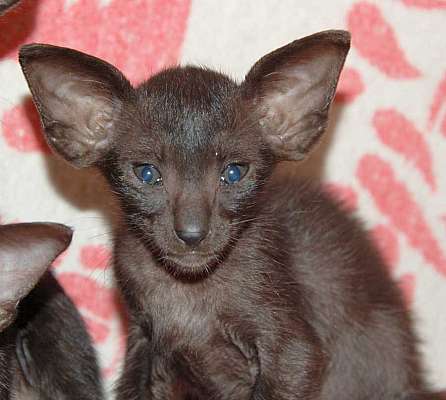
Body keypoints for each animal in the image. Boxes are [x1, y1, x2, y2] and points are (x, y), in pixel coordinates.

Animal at [19, 31, 444, 400]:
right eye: (147, 174)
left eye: (234, 173)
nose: (192, 233)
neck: (188, 291)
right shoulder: (143, 343)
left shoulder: (293, 355)